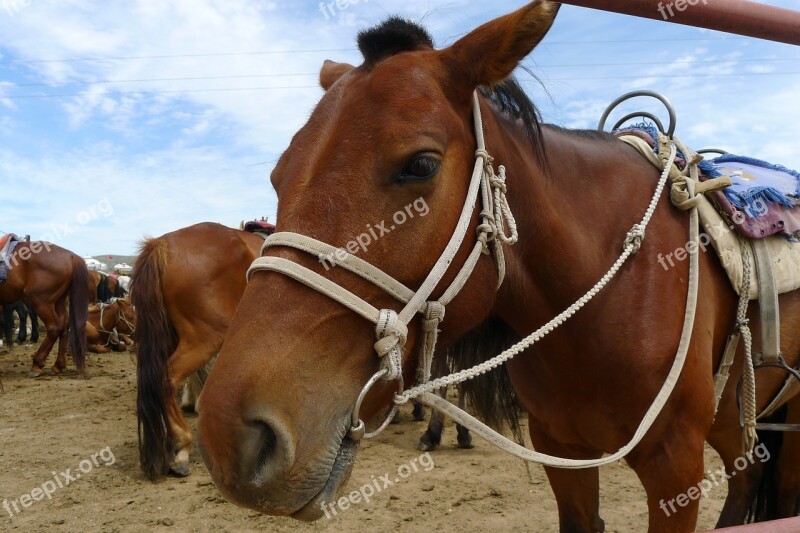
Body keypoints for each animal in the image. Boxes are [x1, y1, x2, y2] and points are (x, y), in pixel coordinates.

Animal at [0, 237, 89, 374]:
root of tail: (71, 256)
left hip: (41, 301)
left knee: (54, 327)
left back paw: (37, 363)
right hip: (58, 301)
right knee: (64, 325)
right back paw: (58, 365)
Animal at [195, 3, 800, 528]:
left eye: (420, 165)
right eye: (279, 176)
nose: (232, 434)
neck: (608, 290)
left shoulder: (676, 465)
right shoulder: (561, 450)